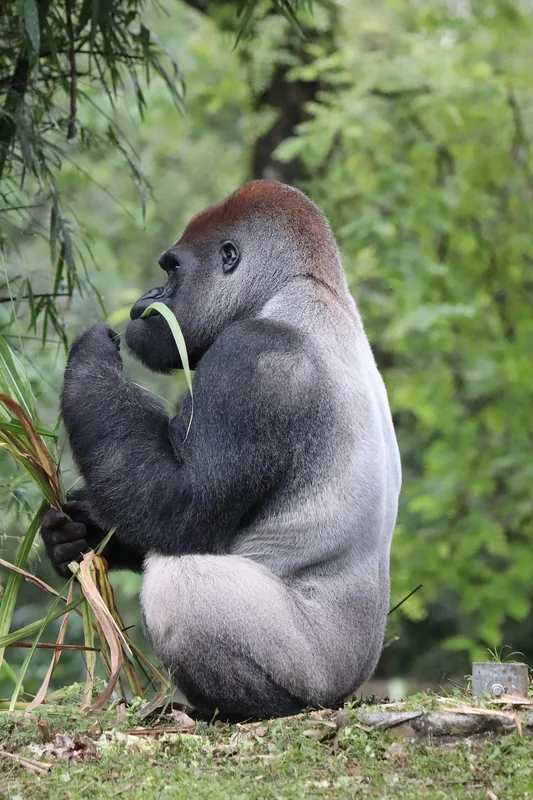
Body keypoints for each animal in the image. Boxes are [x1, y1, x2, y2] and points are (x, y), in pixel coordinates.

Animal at [41, 181, 401, 721]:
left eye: (172, 269)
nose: (150, 296)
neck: (297, 288)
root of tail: (357, 679)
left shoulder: (254, 361)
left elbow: (177, 507)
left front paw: (91, 357)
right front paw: (72, 536)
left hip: (317, 674)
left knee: (182, 586)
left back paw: (248, 708)